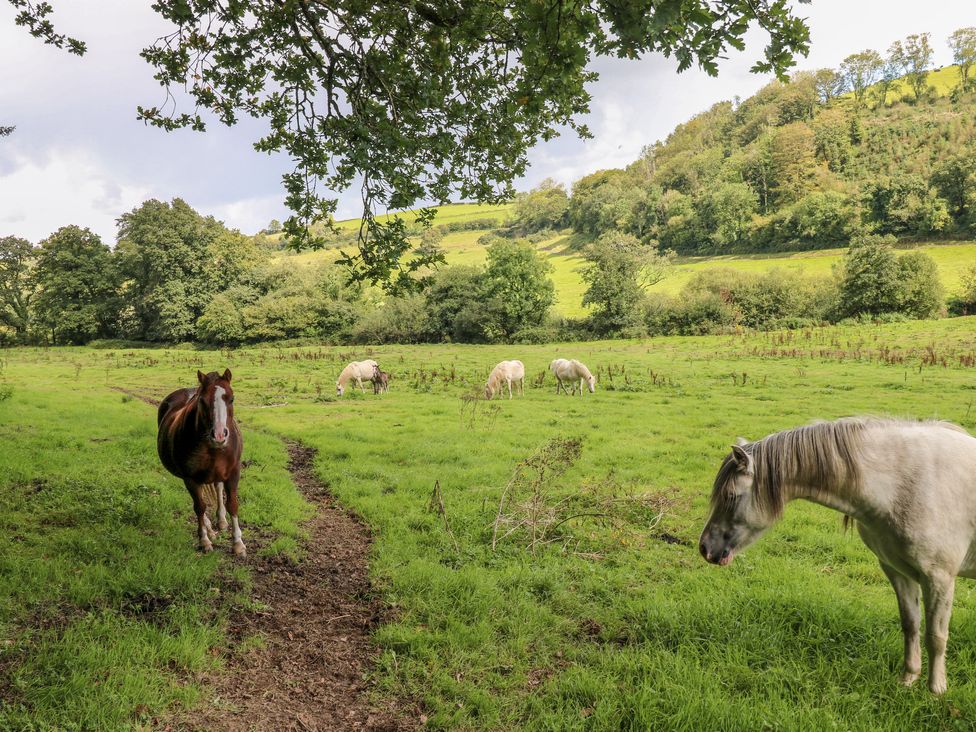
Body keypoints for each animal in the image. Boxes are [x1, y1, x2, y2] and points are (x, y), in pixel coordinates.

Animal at [158, 372, 246, 556]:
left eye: (232, 399)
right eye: (202, 401)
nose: (219, 436)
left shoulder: (233, 473)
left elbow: (233, 505)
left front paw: (238, 544)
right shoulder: (191, 479)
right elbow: (199, 507)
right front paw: (204, 541)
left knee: (218, 488)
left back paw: (221, 521)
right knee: (202, 504)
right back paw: (210, 529)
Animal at [700, 420, 976, 696]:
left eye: (731, 496)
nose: (705, 548)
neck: (903, 483)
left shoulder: (938, 578)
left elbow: (936, 636)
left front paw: (936, 691)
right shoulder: (897, 571)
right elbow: (911, 625)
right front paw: (908, 678)